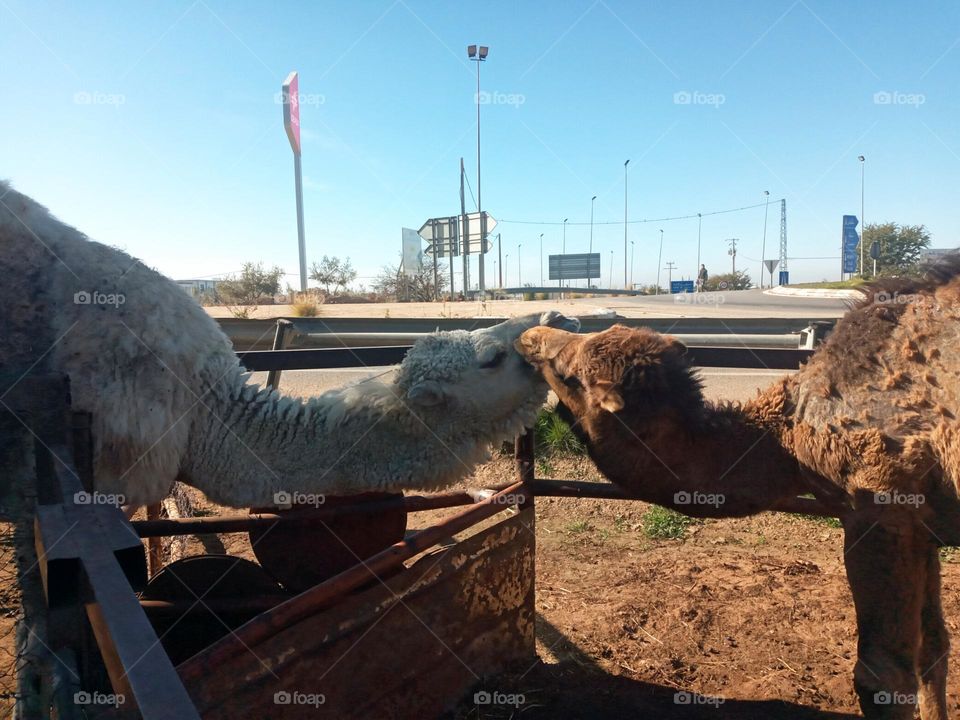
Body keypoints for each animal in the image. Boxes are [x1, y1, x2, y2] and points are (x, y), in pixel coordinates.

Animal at [517, 259, 960, 720]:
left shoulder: (879, 508)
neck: (788, 434)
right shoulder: (923, 526)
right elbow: (934, 646)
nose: (530, 335)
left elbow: (882, 676)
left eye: (569, 373)